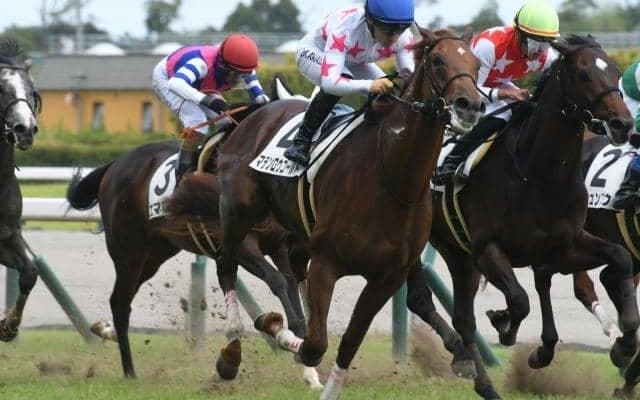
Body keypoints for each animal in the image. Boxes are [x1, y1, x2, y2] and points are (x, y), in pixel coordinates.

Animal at [65, 105, 321, 388]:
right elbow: (277, 281)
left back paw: (105, 331)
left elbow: (289, 287)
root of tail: (114, 165)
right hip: (128, 251)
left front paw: (307, 363)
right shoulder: (241, 244)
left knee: (120, 299)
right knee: (121, 303)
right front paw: (284, 336)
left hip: (154, 255)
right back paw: (129, 369)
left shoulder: (278, 246)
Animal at [214, 28, 488, 400]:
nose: (469, 106)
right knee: (225, 264)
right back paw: (231, 353)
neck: (392, 178)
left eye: (476, 64)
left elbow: (348, 343)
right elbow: (314, 344)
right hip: (238, 211)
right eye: (437, 60)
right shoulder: (325, 262)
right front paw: (279, 331)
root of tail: (257, 113)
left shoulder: (387, 277)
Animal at [427, 34, 638, 396]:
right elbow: (519, 299)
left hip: (457, 252)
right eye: (583, 74)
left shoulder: (565, 243)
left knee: (465, 316)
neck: (540, 174)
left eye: (613, 69)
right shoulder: (487, 249)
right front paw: (504, 324)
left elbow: (619, 258)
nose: (622, 123)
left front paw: (623, 346)